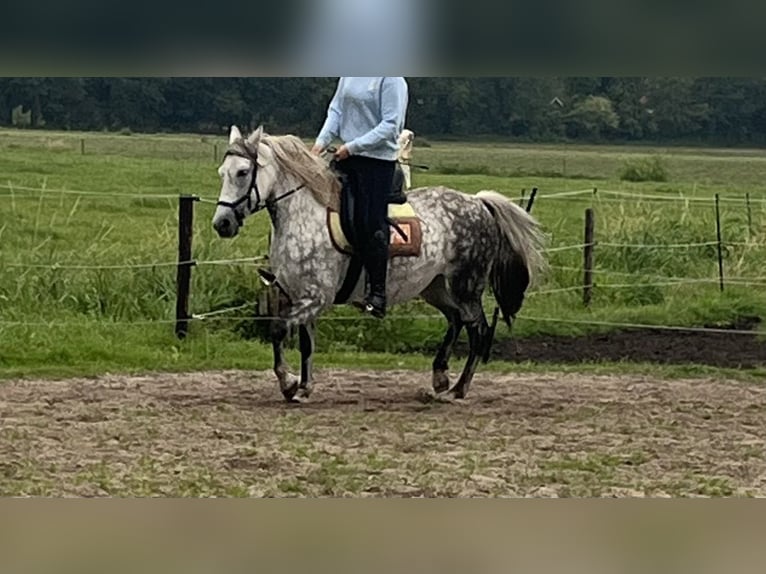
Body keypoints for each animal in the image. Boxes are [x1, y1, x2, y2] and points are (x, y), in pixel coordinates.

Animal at [210, 127, 544, 404]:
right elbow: (305, 343)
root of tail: (477, 202)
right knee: (456, 320)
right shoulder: (299, 295)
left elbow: (278, 329)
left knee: (478, 330)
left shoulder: (315, 297)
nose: (221, 224)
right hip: (435, 287)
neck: (303, 214)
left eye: (243, 172)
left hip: (467, 286)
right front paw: (303, 387)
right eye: (222, 172)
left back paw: (457, 390)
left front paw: (289, 383)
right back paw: (439, 377)